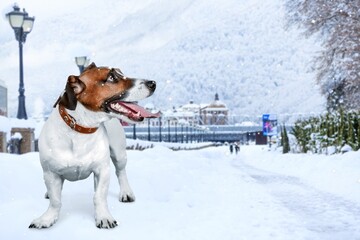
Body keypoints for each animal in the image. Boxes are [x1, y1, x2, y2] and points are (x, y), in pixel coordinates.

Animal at [30, 62, 160, 229]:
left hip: (119, 154)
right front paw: (47, 218)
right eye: (111, 77)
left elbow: (99, 196)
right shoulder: (50, 173)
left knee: (121, 172)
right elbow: (55, 200)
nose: (153, 83)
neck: (81, 129)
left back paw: (126, 192)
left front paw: (104, 217)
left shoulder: (102, 169)